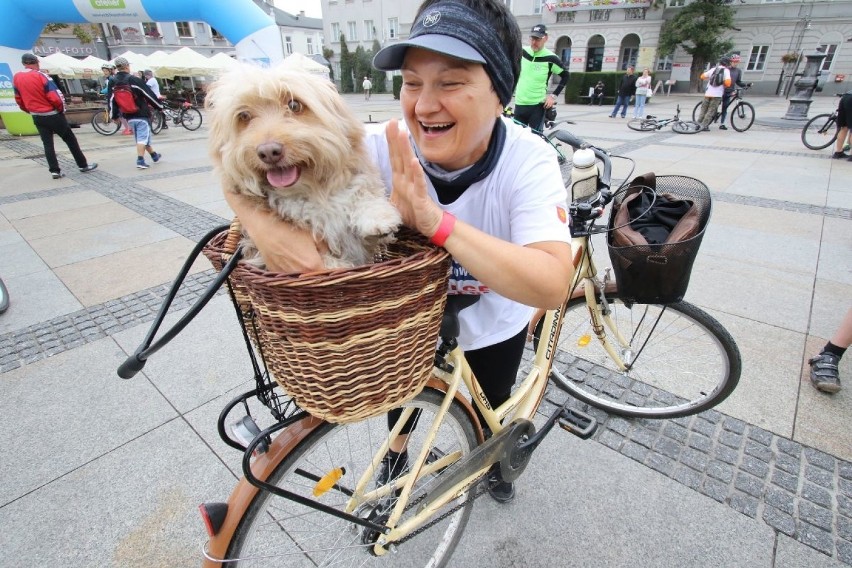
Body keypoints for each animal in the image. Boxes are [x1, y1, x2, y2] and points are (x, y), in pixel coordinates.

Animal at [209, 65, 402, 270]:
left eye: (294, 105)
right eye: (244, 116)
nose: (268, 152)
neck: (311, 191)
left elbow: (363, 193)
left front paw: (377, 217)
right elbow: (329, 262)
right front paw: (338, 267)